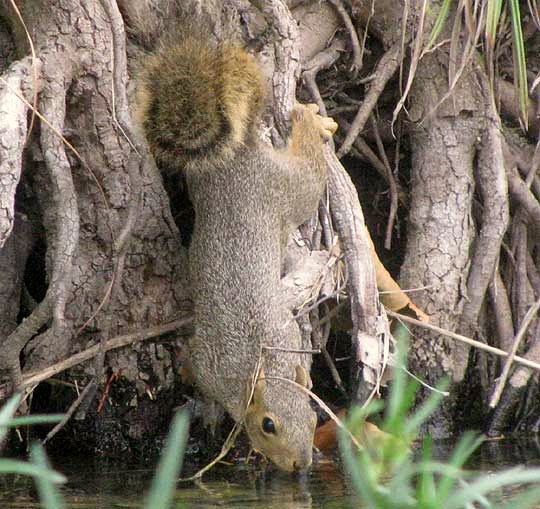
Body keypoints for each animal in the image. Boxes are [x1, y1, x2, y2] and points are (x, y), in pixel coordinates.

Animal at [136, 36, 338, 472]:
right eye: (268, 425)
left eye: (314, 416)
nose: (301, 464)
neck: (258, 358)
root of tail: (242, 152)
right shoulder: (209, 361)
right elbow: (194, 367)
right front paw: (200, 396)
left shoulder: (289, 338)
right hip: (291, 189)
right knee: (309, 169)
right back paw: (309, 121)